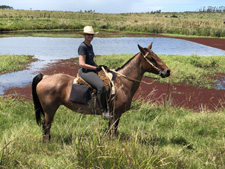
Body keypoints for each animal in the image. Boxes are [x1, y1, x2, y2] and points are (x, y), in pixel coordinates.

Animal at [32, 43, 171, 141]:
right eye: (152, 58)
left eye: (156, 55)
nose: (167, 71)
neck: (122, 83)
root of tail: (44, 77)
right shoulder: (116, 114)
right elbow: (113, 130)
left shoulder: (114, 115)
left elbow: (111, 130)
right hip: (50, 109)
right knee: (46, 125)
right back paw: (47, 142)